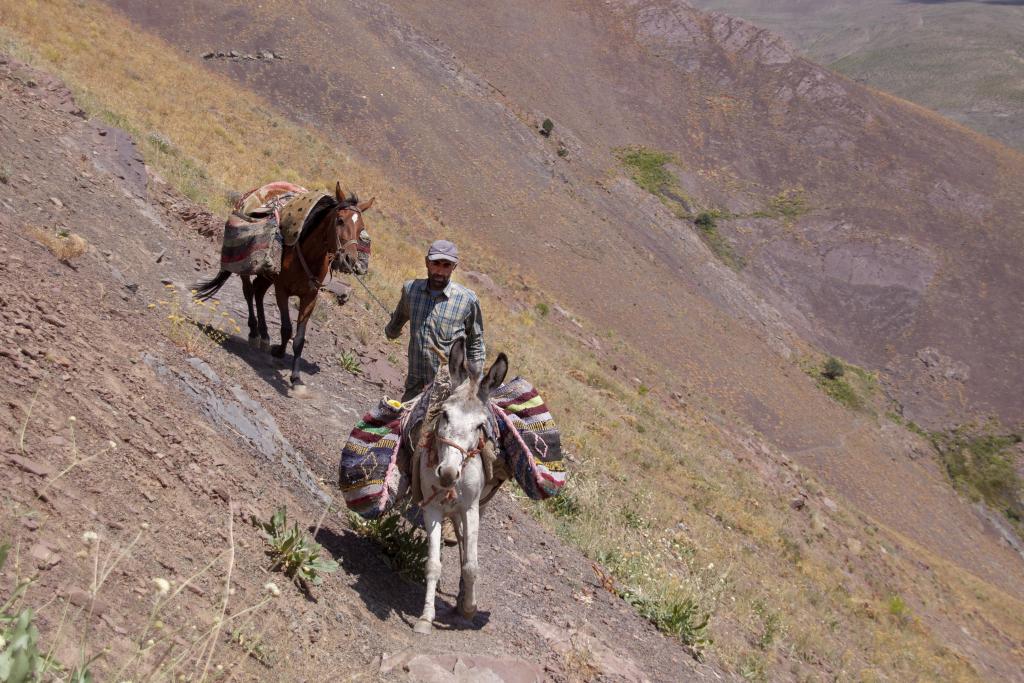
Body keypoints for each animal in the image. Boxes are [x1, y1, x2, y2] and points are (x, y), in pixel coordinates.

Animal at [193, 183, 374, 395]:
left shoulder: (310, 297)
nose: (349, 261)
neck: (309, 254)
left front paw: (296, 379)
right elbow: (287, 329)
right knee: (249, 291)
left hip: (267, 275)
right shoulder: (282, 290)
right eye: (339, 220)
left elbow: (300, 339)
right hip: (249, 265)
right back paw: (255, 333)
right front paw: (279, 352)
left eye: (361, 228)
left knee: (258, 292)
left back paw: (264, 335)